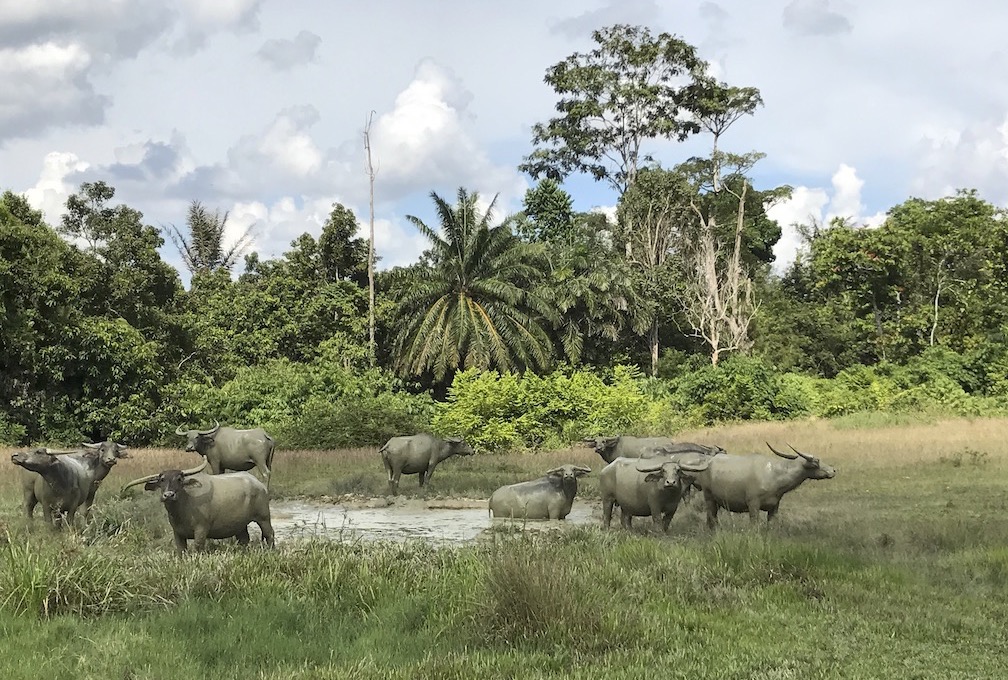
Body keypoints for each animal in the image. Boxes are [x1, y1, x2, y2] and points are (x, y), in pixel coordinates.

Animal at [123, 459, 278, 556]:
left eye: (179, 479)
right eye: (162, 480)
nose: (169, 495)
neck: (182, 510)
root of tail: (259, 484)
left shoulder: (201, 529)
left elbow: (198, 547)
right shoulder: (177, 533)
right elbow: (181, 550)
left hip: (264, 517)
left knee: (269, 534)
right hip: (240, 525)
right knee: (244, 539)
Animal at [681, 441, 838, 531]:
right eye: (816, 462)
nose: (833, 470)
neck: (774, 475)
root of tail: (709, 461)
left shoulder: (774, 507)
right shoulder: (753, 504)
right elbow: (754, 525)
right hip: (709, 497)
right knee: (712, 516)